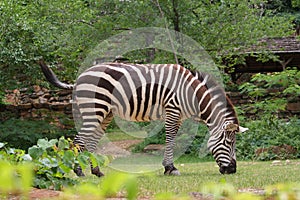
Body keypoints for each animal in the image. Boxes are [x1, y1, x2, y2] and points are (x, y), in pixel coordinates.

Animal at [38, 60, 247, 177]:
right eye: (229, 143)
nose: (233, 170)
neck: (192, 94)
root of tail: (80, 77)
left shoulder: (177, 115)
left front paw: (168, 167)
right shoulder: (173, 110)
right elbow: (171, 138)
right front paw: (170, 168)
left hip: (105, 114)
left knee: (90, 142)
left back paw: (97, 172)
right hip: (94, 110)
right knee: (79, 141)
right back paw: (79, 172)